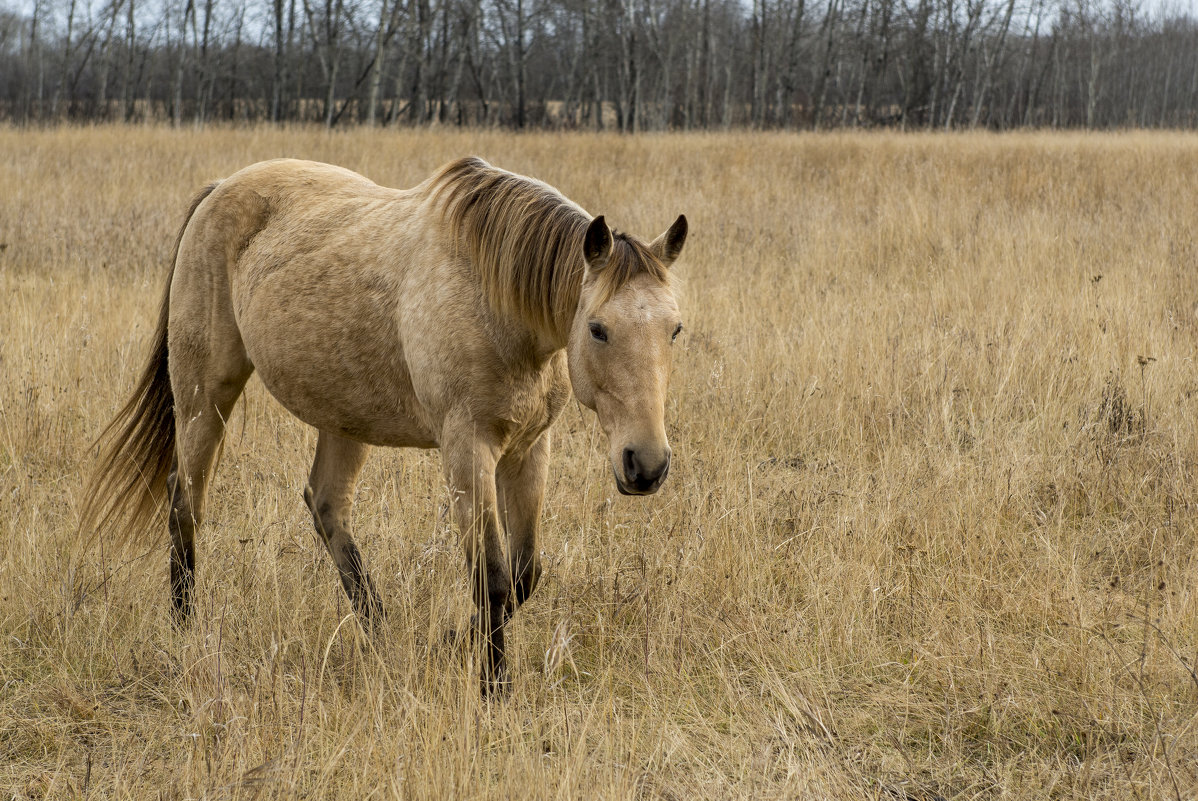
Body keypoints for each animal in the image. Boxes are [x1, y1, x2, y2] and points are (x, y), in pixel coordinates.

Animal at [82, 155, 685, 694]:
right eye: (599, 329)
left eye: (675, 329)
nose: (647, 465)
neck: (495, 300)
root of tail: (220, 188)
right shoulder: (468, 450)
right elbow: (491, 577)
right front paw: (493, 688)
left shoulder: (529, 449)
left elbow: (523, 574)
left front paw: (451, 642)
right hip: (205, 395)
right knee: (186, 500)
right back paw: (186, 626)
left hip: (342, 419)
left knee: (326, 506)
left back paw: (380, 633)